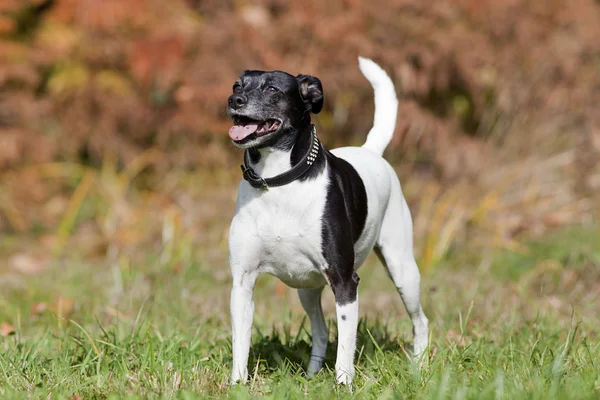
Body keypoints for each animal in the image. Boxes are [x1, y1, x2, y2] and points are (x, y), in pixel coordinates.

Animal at [225, 56, 426, 384]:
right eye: (236, 85)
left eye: (272, 89)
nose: (235, 101)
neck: (278, 183)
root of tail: (370, 151)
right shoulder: (242, 283)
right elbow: (240, 343)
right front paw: (237, 385)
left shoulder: (345, 282)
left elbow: (345, 344)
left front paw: (343, 383)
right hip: (307, 289)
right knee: (320, 331)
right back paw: (311, 374)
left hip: (403, 271)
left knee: (420, 321)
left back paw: (421, 365)